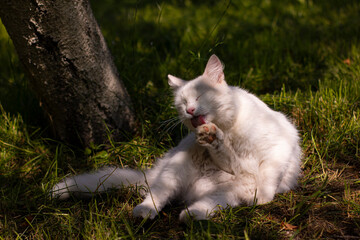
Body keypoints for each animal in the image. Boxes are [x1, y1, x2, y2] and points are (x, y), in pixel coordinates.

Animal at [52, 54, 300, 221]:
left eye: (198, 97)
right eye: (182, 103)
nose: (190, 111)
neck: (227, 128)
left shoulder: (277, 147)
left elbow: (267, 175)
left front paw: (263, 197)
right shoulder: (230, 161)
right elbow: (228, 156)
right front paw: (211, 137)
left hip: (228, 193)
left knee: (207, 204)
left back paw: (191, 215)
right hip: (177, 166)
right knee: (157, 195)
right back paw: (145, 212)